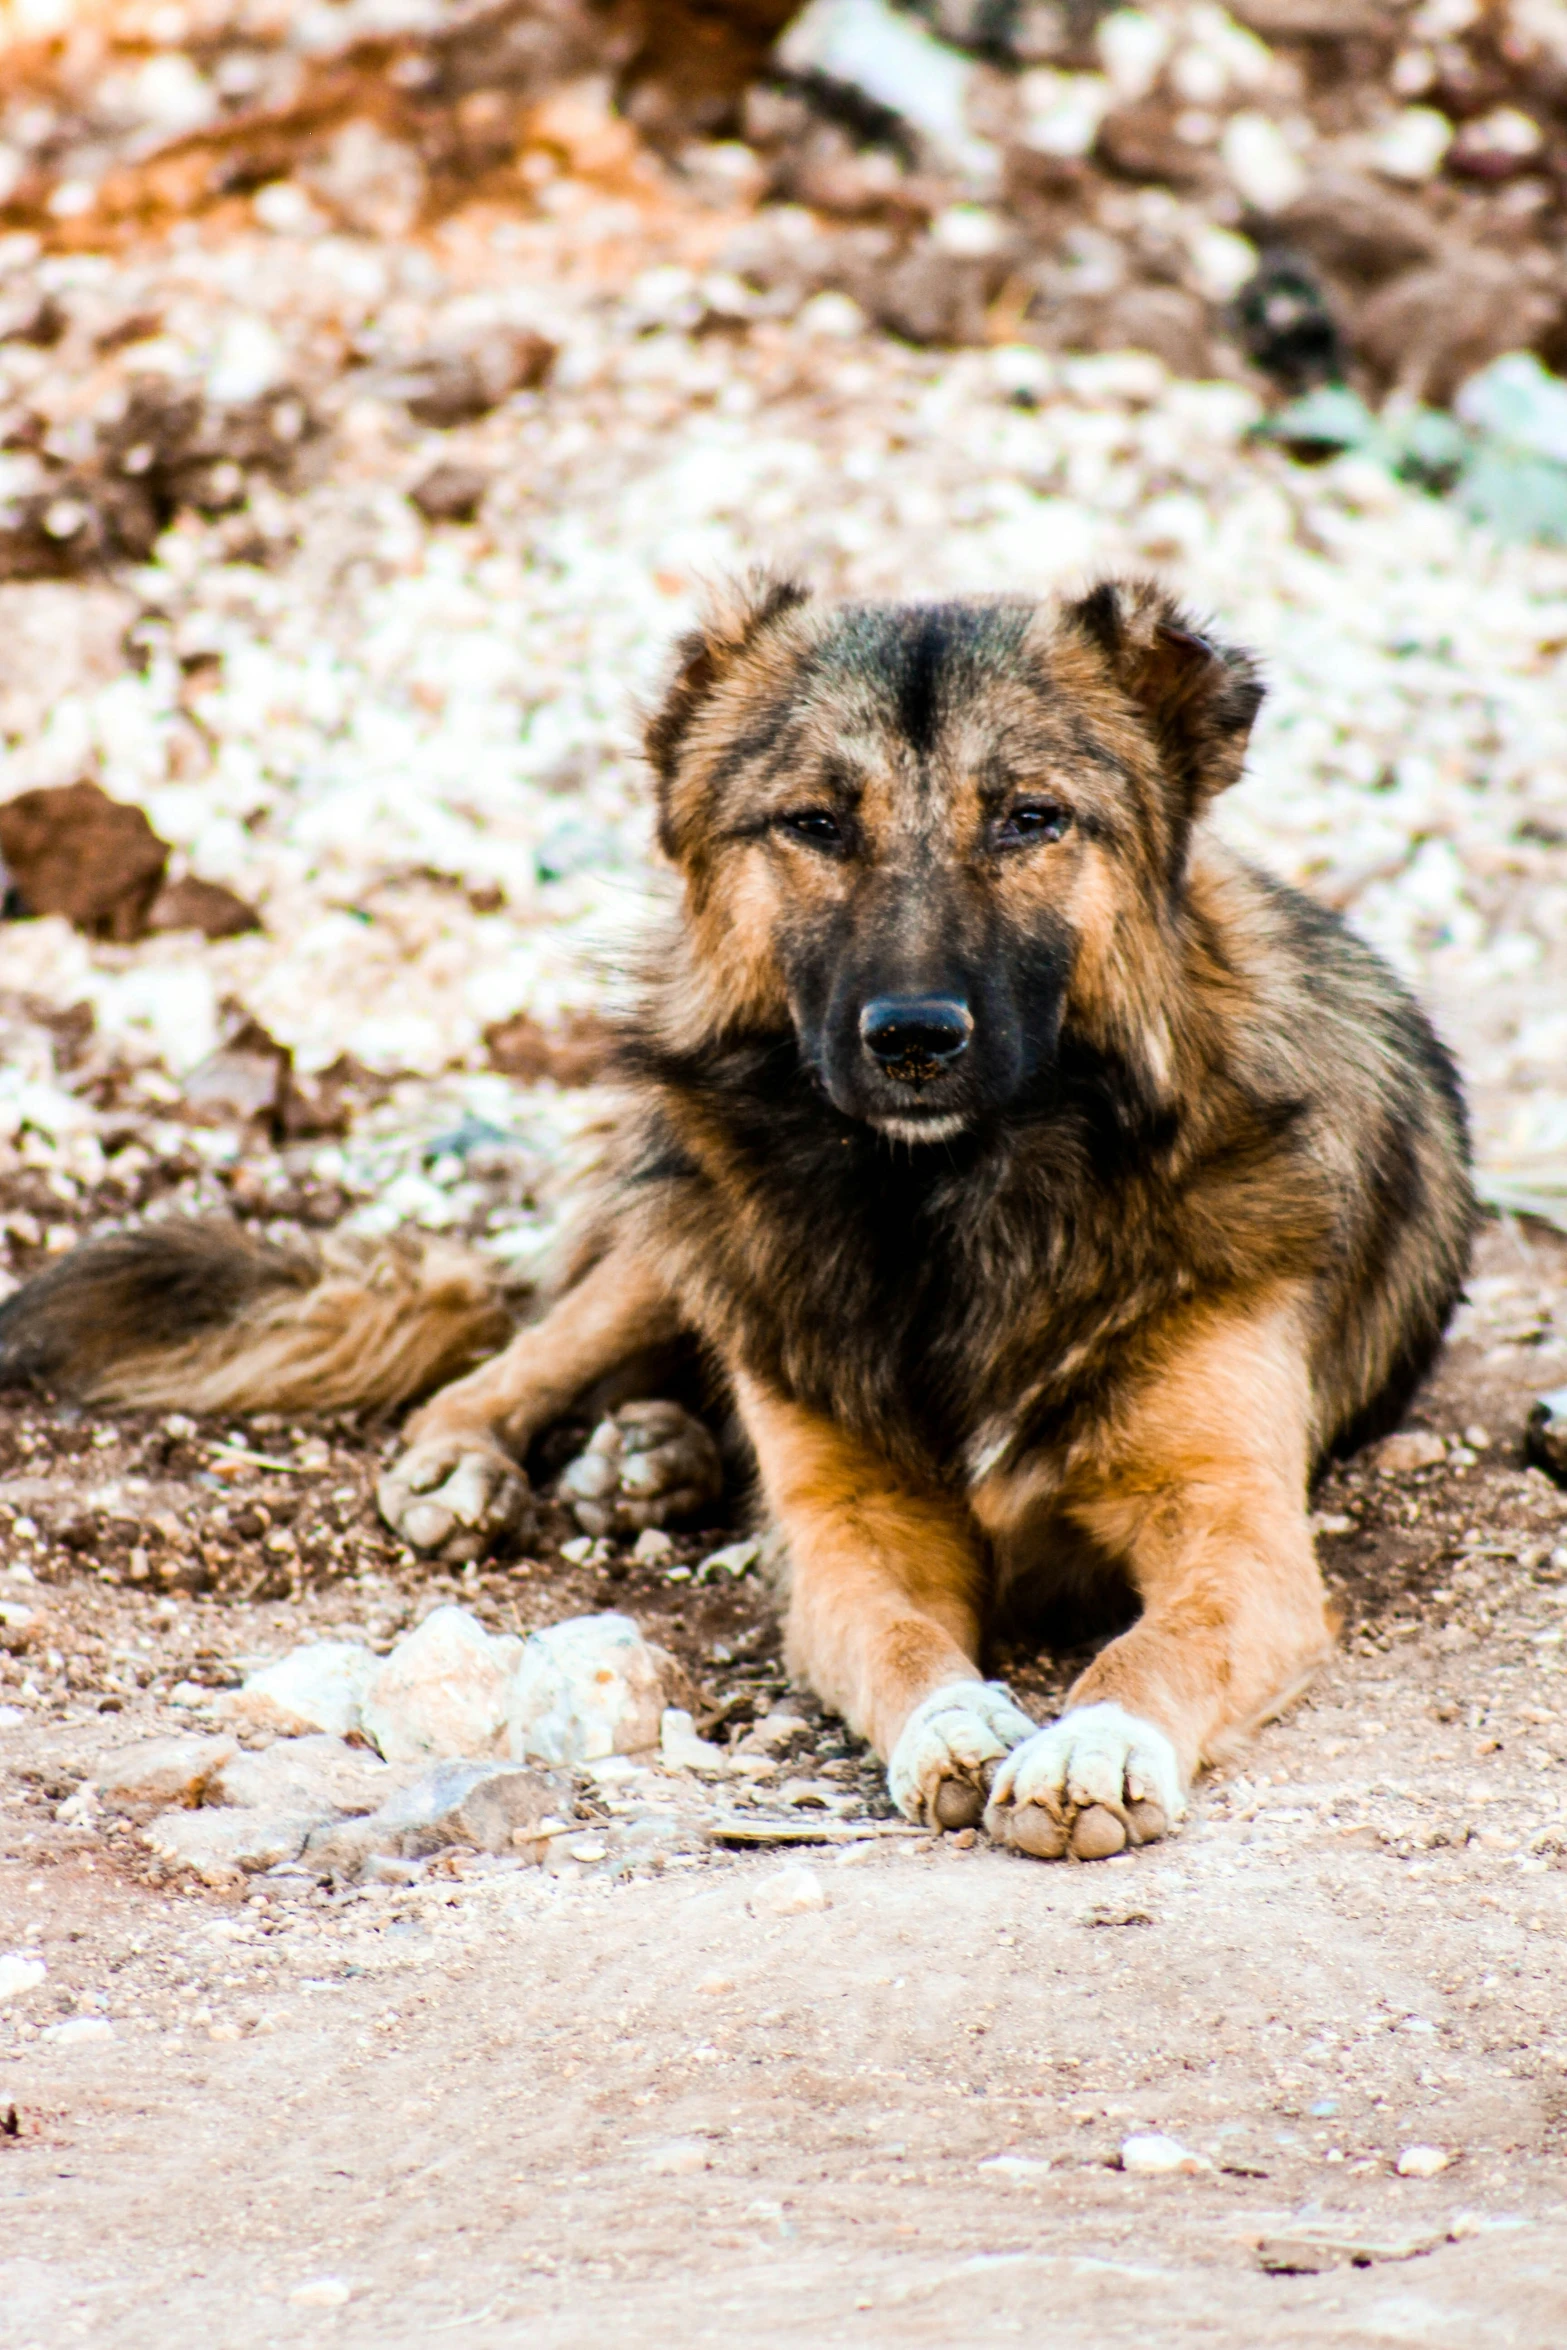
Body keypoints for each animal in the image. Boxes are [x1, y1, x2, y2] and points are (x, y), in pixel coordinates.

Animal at [0, 578, 1475, 1861]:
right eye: (814, 823)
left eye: (1029, 818)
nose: (913, 1040)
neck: (950, 1213)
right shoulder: (847, 1526)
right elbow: (895, 1638)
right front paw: (957, 1721)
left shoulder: (1242, 1534)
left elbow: (1157, 1639)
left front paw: (1093, 1739)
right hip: (695, 1218)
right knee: (521, 1353)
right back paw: (488, 1458)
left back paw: (645, 1457)